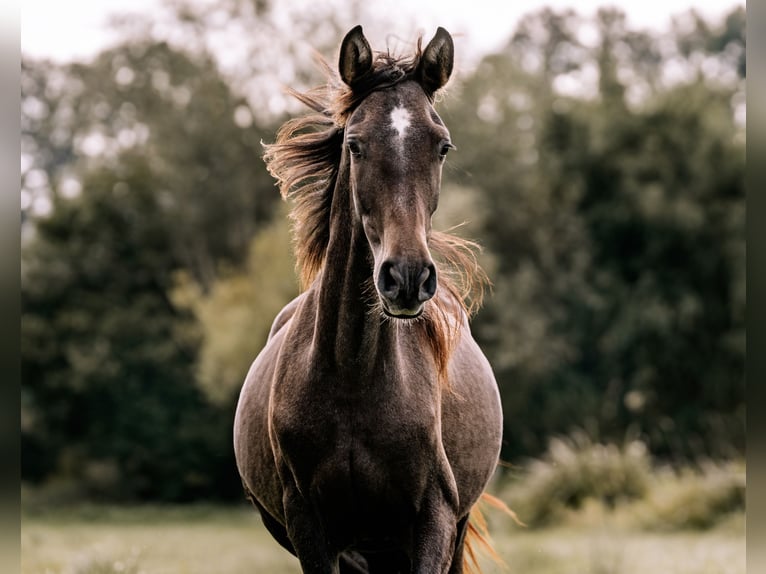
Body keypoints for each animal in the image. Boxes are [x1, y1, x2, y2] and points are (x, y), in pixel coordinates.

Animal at [234, 24, 510, 572]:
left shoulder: (435, 519)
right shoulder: (310, 527)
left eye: (442, 146)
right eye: (356, 145)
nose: (406, 277)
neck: (353, 377)